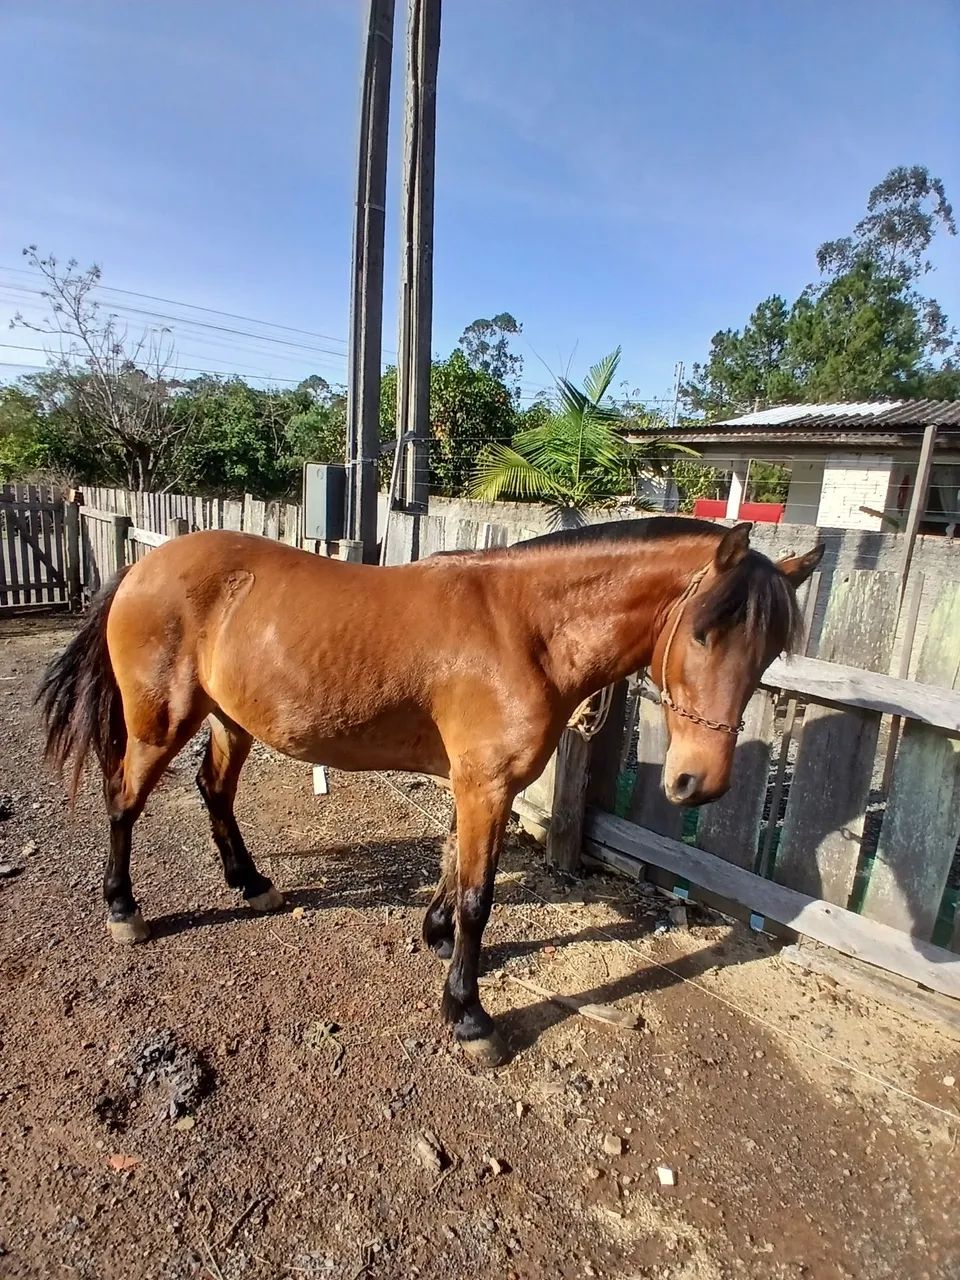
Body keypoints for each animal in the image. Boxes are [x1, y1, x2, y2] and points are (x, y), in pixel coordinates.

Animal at [37, 516, 822, 1066]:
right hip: (158, 723)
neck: (523, 628)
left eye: (769, 649)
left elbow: (452, 866)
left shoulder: (474, 784)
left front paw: (436, 935)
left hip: (231, 719)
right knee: (124, 800)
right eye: (703, 632)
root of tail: (142, 566)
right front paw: (469, 1014)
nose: (699, 783)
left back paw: (251, 883)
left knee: (214, 792)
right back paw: (124, 909)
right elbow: (479, 897)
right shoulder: (486, 784)